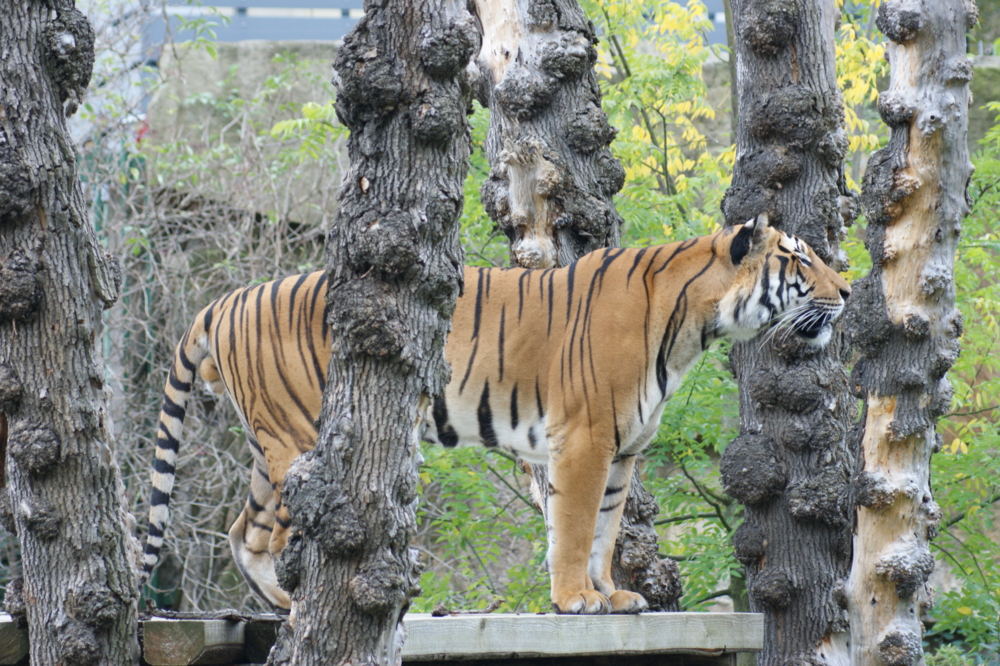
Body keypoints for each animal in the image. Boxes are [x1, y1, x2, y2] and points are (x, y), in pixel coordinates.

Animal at [141, 213, 852, 612]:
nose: (847, 290)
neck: (693, 328)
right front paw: (574, 601)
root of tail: (226, 299)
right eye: (799, 259)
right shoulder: (586, 439)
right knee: (276, 536)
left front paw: (610, 594)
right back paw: (296, 608)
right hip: (299, 439)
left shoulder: (624, 450)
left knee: (246, 532)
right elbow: (574, 528)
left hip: (270, 446)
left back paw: (278, 606)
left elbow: (605, 532)